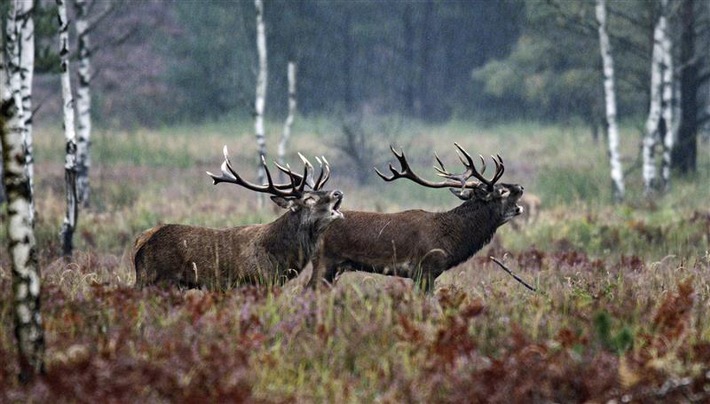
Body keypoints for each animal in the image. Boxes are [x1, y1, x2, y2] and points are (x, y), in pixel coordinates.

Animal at [135, 146, 346, 290]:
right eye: (309, 199)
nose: (338, 192)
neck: (281, 258)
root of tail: (141, 243)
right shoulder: (254, 282)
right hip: (162, 280)